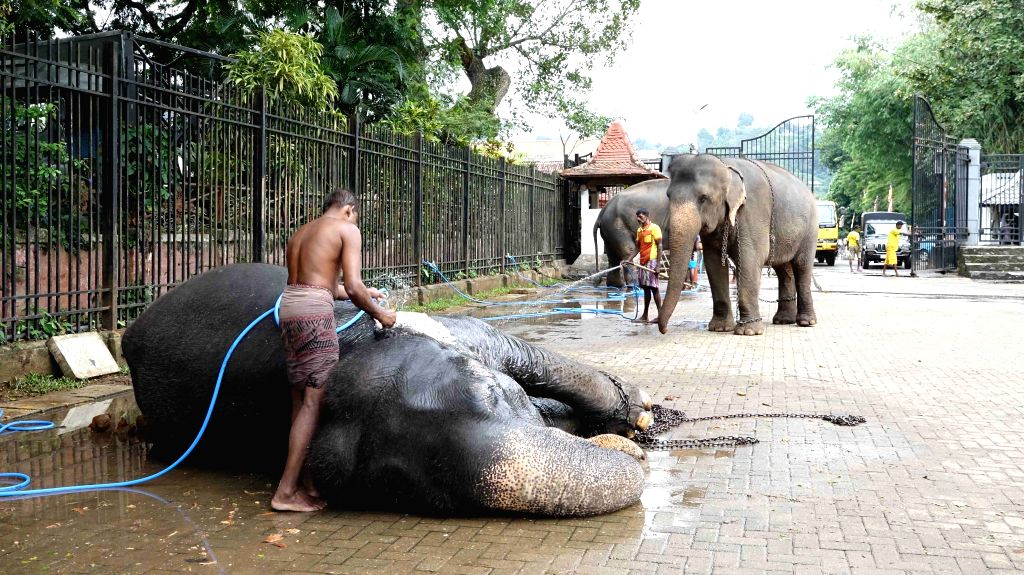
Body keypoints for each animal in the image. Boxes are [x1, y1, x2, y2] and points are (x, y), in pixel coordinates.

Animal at [122, 263, 654, 517]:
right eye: (400, 485)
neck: (350, 348)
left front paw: (637, 413)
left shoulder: (466, 332)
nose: (631, 453)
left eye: (494, 394)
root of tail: (130, 332)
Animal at [657, 154, 818, 336]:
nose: (664, 329)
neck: (727, 166)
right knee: (784, 269)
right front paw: (719, 328)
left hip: (810, 230)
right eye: (668, 196)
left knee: (802, 266)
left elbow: (750, 259)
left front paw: (749, 332)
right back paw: (783, 320)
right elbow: (714, 263)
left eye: (703, 198)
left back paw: (806, 322)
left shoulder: (753, 211)